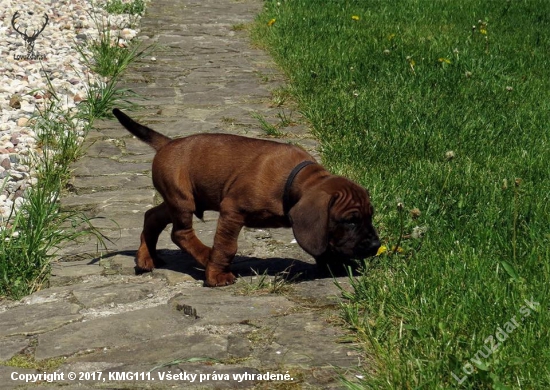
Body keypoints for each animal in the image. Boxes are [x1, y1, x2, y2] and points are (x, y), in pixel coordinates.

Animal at [112, 109, 380, 286]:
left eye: (370, 216)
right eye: (351, 221)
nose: (376, 245)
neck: (293, 180)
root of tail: (168, 143)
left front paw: (333, 265)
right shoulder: (232, 211)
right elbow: (226, 247)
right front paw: (217, 274)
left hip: (180, 199)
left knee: (152, 216)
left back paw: (146, 257)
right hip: (182, 200)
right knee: (180, 233)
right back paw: (204, 257)